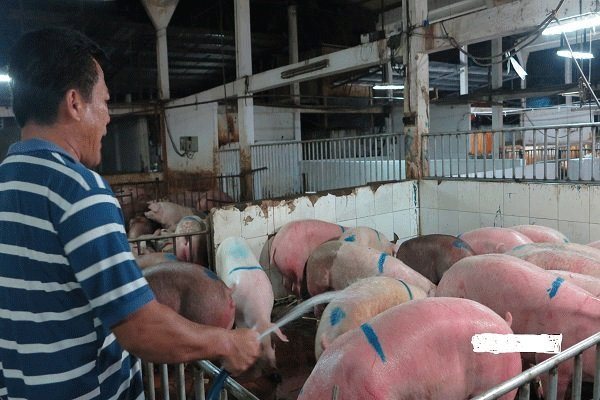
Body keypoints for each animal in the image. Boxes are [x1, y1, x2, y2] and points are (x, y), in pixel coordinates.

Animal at [216, 234, 288, 368]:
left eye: (271, 340)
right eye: (259, 345)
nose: (273, 366)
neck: (260, 317)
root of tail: (231, 237)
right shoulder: (238, 312)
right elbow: (240, 325)